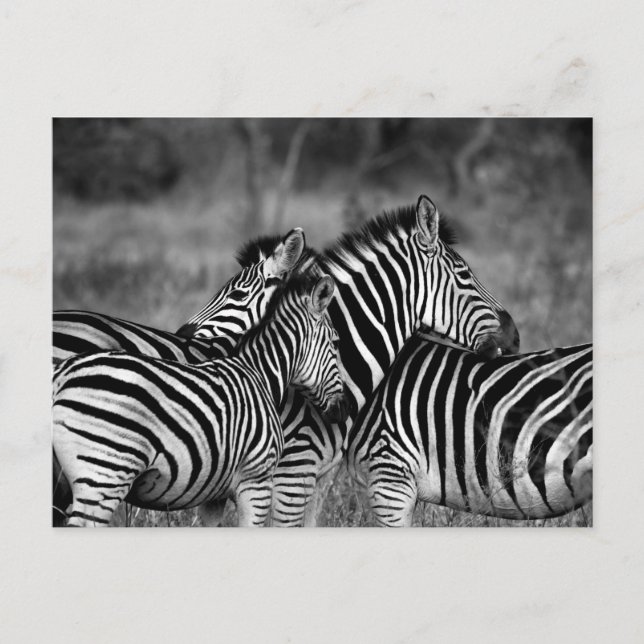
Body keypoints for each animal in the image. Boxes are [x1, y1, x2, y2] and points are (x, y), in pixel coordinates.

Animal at [53, 270, 348, 527]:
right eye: (335, 343)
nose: (344, 409)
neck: (259, 373)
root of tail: (61, 374)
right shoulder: (257, 480)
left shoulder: (213, 493)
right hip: (105, 473)